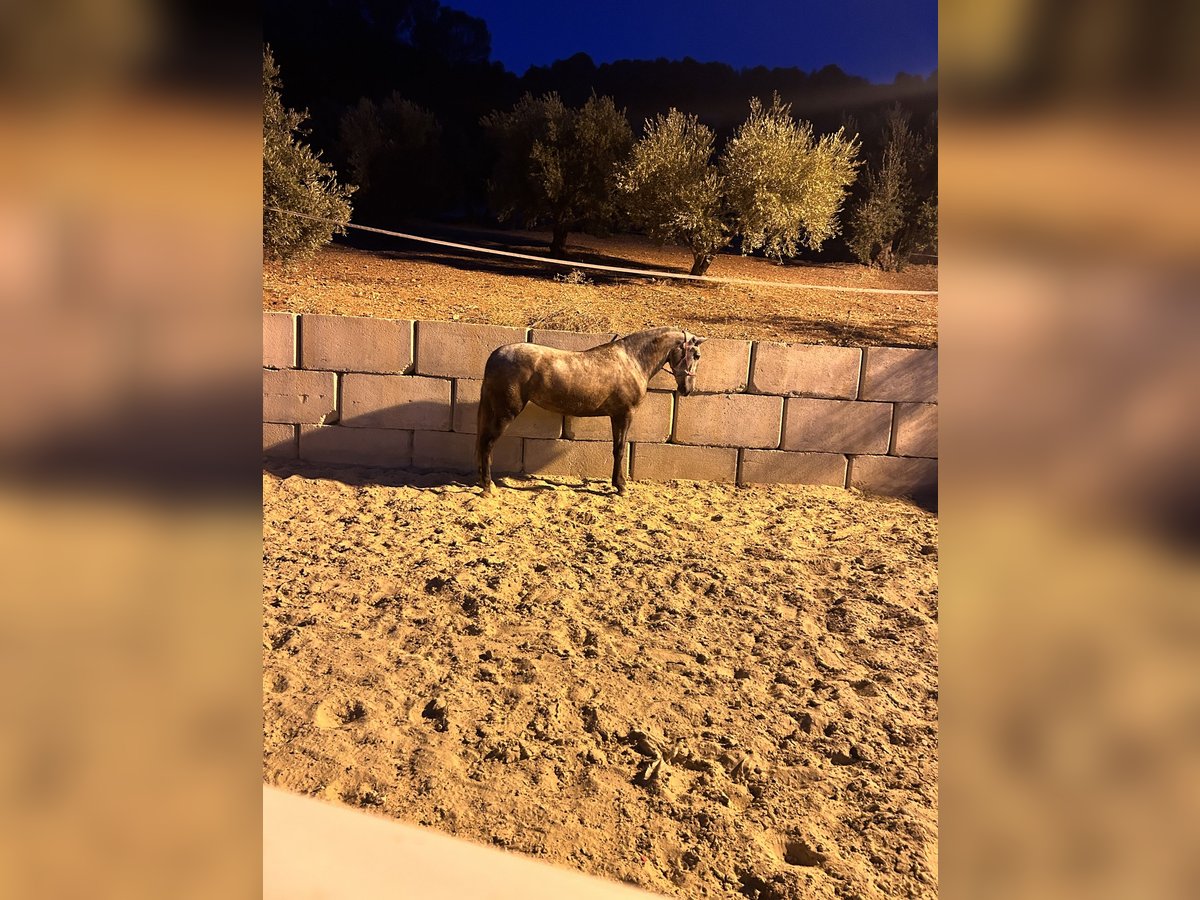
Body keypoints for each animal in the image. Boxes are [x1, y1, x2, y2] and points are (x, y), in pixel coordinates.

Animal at [475, 326, 700, 496]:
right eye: (696, 355)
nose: (687, 389)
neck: (632, 361)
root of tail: (496, 355)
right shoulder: (624, 415)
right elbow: (620, 449)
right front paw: (621, 486)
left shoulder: (615, 416)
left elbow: (616, 448)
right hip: (505, 412)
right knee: (487, 444)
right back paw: (488, 487)